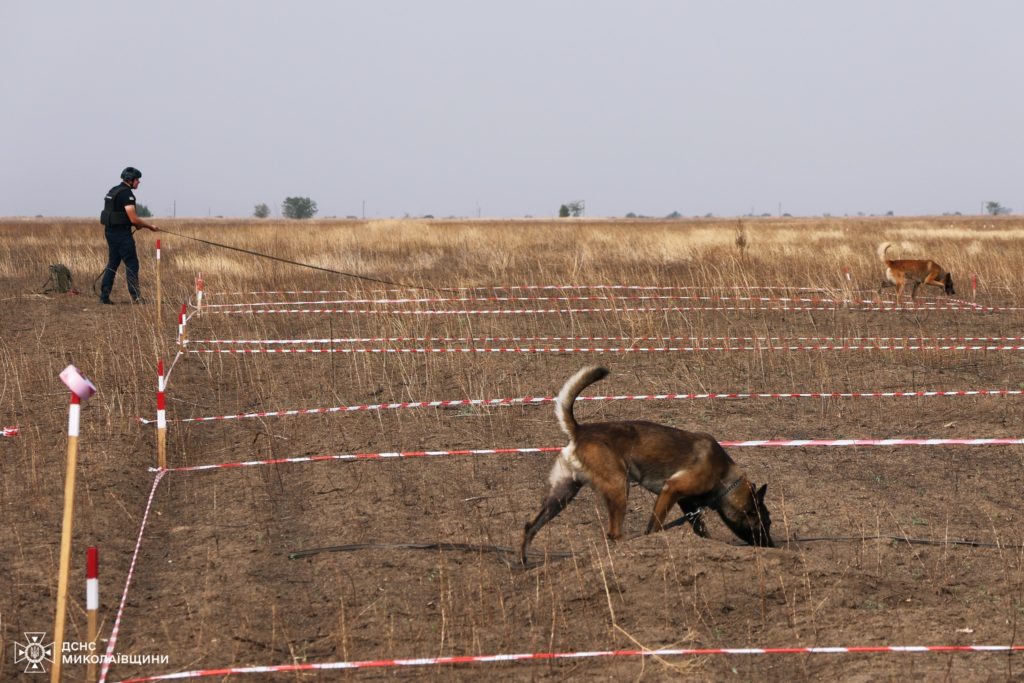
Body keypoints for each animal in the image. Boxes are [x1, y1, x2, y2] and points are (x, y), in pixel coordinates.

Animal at [520, 368, 774, 565]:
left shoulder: (687, 505)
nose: (772, 546)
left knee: (530, 525)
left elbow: (701, 530)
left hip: (561, 495)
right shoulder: (670, 491)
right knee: (614, 532)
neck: (724, 477)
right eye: (767, 522)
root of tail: (580, 431)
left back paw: (525, 562)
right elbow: (655, 527)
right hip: (619, 487)